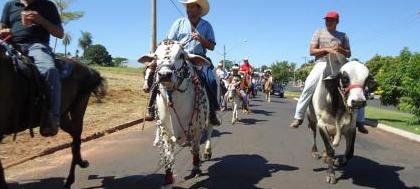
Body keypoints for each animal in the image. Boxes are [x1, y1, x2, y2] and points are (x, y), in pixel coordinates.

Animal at [0, 39, 107, 188]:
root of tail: (90, 70)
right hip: (62, 116)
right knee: (75, 136)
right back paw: (79, 164)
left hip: (78, 108)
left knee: (76, 139)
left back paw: (72, 176)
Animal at [139, 39, 215, 189]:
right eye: (156, 56)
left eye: (181, 55)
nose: (164, 75)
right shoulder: (165, 131)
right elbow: (168, 156)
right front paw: (168, 178)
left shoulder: (196, 129)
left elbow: (196, 148)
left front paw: (195, 168)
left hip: (210, 115)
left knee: (209, 129)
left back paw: (207, 152)